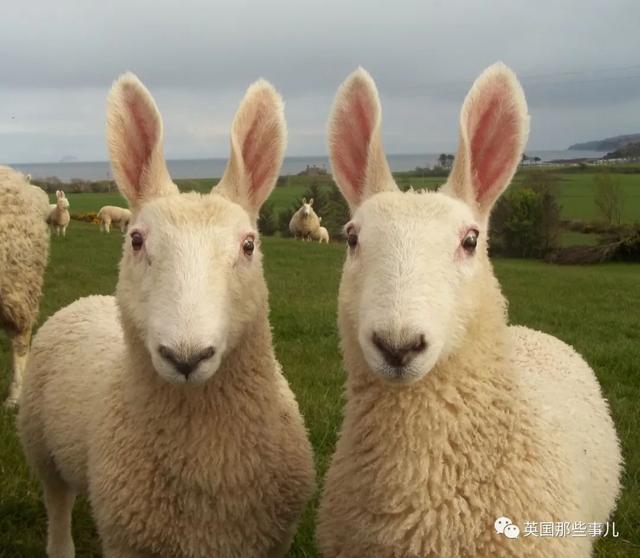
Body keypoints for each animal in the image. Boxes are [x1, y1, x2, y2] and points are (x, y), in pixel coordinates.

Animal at [21, 74, 316, 558]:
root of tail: (87, 300)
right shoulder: (126, 540)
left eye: (249, 245)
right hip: (40, 444)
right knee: (58, 502)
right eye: (136, 240)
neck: (204, 460)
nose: (186, 357)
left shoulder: (271, 539)